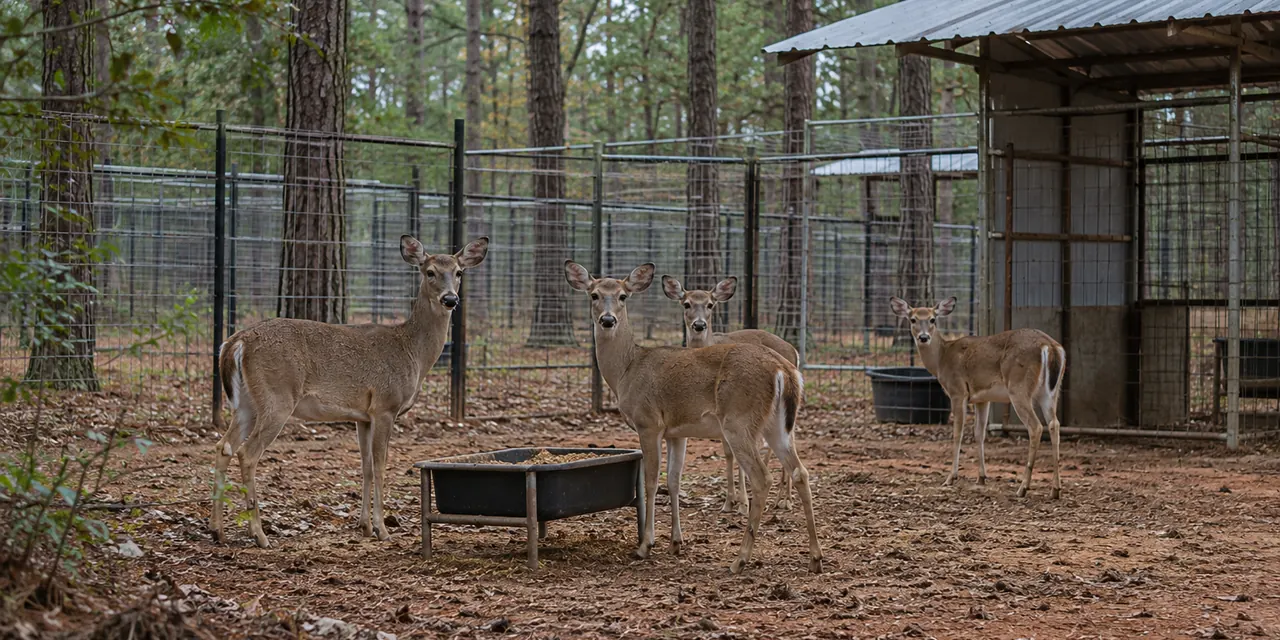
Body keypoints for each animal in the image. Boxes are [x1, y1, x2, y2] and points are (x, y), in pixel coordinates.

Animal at [210, 235, 489, 547]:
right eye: (429, 272)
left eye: (459, 272)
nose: (450, 299)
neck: (412, 352)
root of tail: (237, 341)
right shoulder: (385, 406)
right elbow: (380, 465)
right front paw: (382, 528)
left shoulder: (362, 417)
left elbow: (365, 466)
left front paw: (364, 525)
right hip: (277, 397)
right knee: (247, 453)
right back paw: (259, 534)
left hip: (246, 402)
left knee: (224, 446)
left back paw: (218, 530)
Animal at [661, 275, 796, 514]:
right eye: (686, 304)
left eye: (710, 304)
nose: (699, 325)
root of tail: (793, 350)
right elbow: (727, 452)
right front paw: (729, 501)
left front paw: (742, 502)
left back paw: (785, 498)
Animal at [889, 296, 1066, 499]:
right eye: (913, 319)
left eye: (933, 319)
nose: (924, 337)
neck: (942, 358)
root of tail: (1050, 346)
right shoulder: (982, 398)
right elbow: (979, 434)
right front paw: (981, 477)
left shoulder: (958, 391)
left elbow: (957, 434)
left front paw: (951, 478)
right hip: (1050, 392)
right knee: (1054, 424)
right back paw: (1055, 490)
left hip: (1018, 387)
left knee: (1036, 427)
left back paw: (1023, 487)